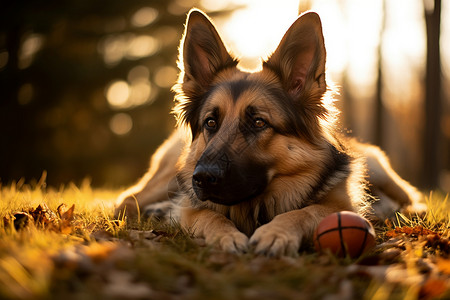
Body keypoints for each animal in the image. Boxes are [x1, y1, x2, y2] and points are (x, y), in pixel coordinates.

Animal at [114, 10, 424, 256]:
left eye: (259, 122)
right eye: (210, 123)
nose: (202, 178)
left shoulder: (339, 203)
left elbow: (305, 210)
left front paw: (277, 232)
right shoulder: (192, 207)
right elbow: (208, 216)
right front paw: (226, 236)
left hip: (376, 165)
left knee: (410, 199)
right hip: (168, 177)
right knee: (128, 199)